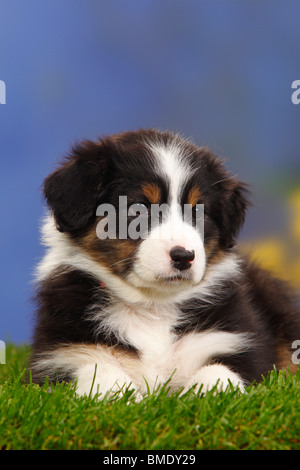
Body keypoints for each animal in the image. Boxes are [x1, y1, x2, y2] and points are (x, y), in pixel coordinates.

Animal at [31, 127, 300, 396]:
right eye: (138, 209)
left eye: (198, 211)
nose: (184, 256)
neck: (152, 308)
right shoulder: (63, 356)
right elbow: (99, 372)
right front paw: (122, 396)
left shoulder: (233, 343)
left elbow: (219, 372)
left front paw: (206, 392)